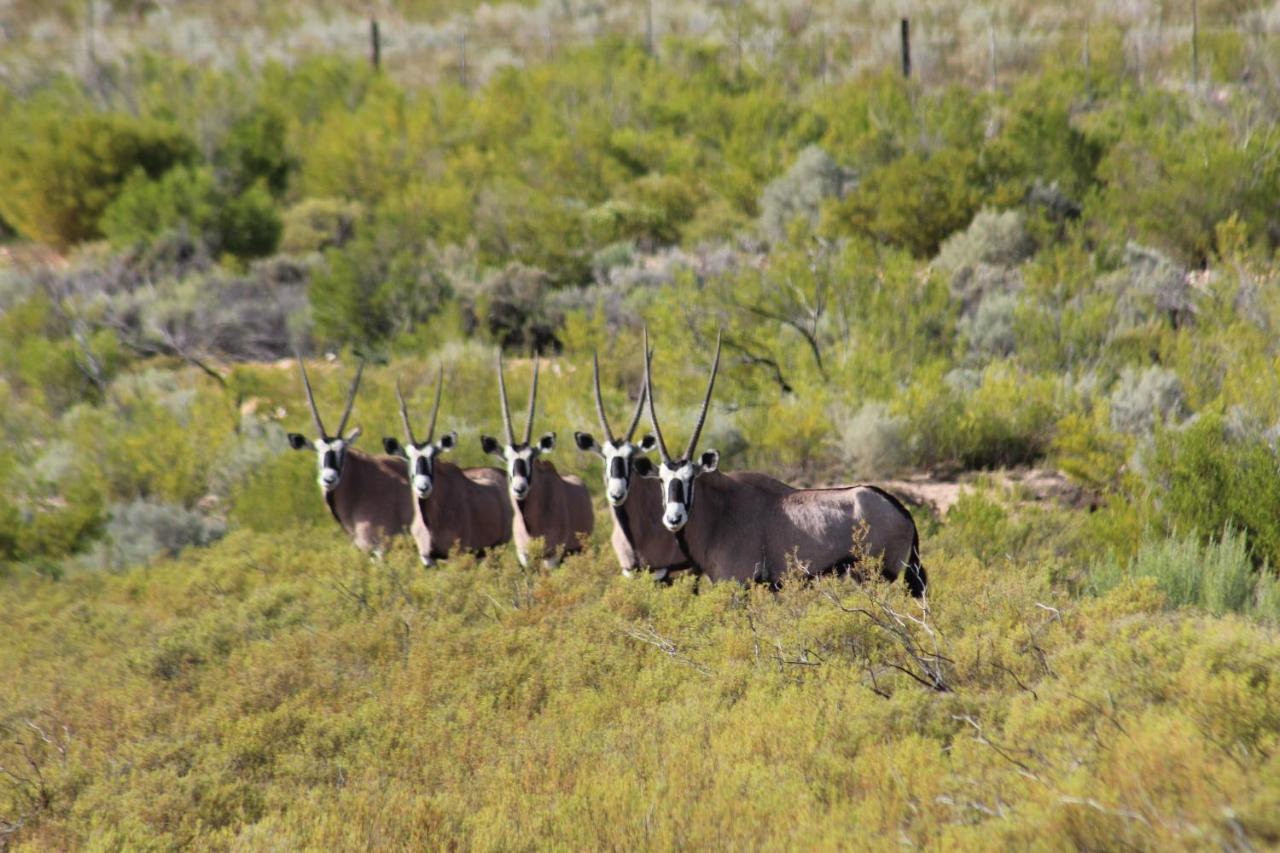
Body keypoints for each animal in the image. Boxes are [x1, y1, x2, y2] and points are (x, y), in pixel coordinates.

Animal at [381, 366, 512, 563]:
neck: (433, 520)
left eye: (433, 456)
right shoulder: (428, 558)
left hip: (495, 549)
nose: (423, 487)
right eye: (408, 458)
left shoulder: (458, 554)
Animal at [645, 327, 926, 594]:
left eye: (691, 478)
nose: (674, 518)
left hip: (874, 576)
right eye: (661, 480)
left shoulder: (739, 583)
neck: (721, 510)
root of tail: (903, 513)